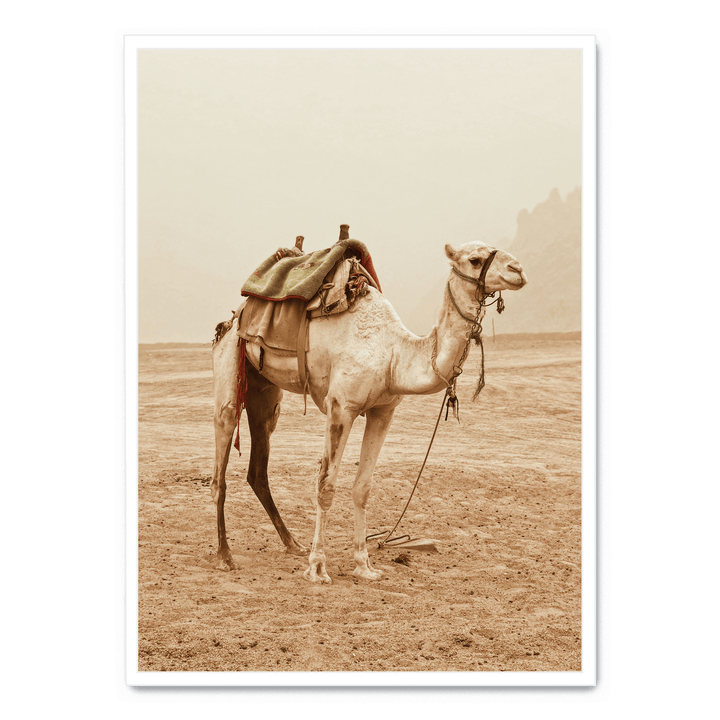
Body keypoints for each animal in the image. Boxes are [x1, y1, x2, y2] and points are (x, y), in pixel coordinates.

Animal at [211, 233, 527, 583]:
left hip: (265, 391)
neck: (394, 354)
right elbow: (325, 486)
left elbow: (362, 487)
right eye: (474, 259)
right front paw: (318, 567)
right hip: (230, 363)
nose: (518, 270)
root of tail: (235, 316)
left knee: (258, 464)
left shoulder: (383, 411)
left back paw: (292, 543)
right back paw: (225, 556)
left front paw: (364, 565)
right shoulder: (341, 406)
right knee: (221, 460)